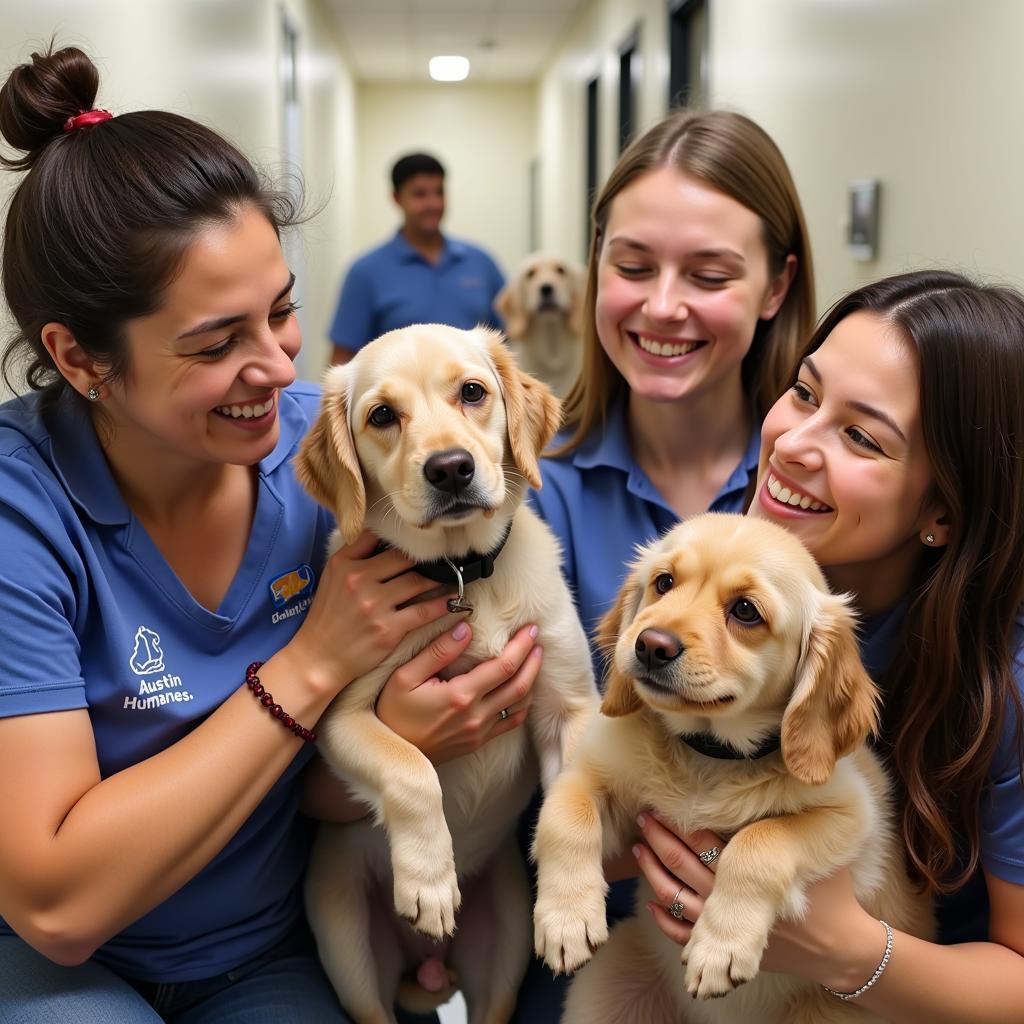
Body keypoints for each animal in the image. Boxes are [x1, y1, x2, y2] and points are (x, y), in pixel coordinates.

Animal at [292, 323, 598, 1024]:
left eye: (473, 393)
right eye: (382, 415)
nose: (451, 467)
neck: (463, 577)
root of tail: (429, 968)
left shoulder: (570, 710)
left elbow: (571, 810)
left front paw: (570, 915)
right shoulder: (340, 719)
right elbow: (412, 770)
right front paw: (429, 882)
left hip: (503, 951)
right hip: (349, 950)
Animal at [532, 516, 933, 1024]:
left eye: (745, 611)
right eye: (664, 583)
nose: (651, 646)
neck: (708, 758)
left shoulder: (853, 817)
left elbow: (758, 842)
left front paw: (719, 949)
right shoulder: (592, 775)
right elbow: (565, 814)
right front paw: (565, 920)